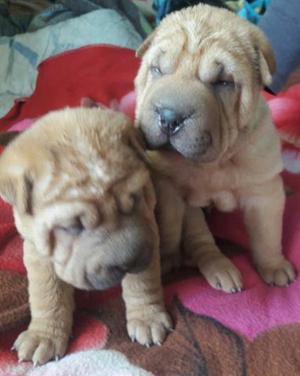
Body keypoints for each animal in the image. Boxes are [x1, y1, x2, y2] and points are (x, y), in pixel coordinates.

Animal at [135, 3, 296, 290]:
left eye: (223, 82)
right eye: (157, 70)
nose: (169, 117)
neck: (215, 162)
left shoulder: (263, 193)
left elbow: (267, 233)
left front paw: (274, 266)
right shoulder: (172, 190)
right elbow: (178, 227)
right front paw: (173, 258)